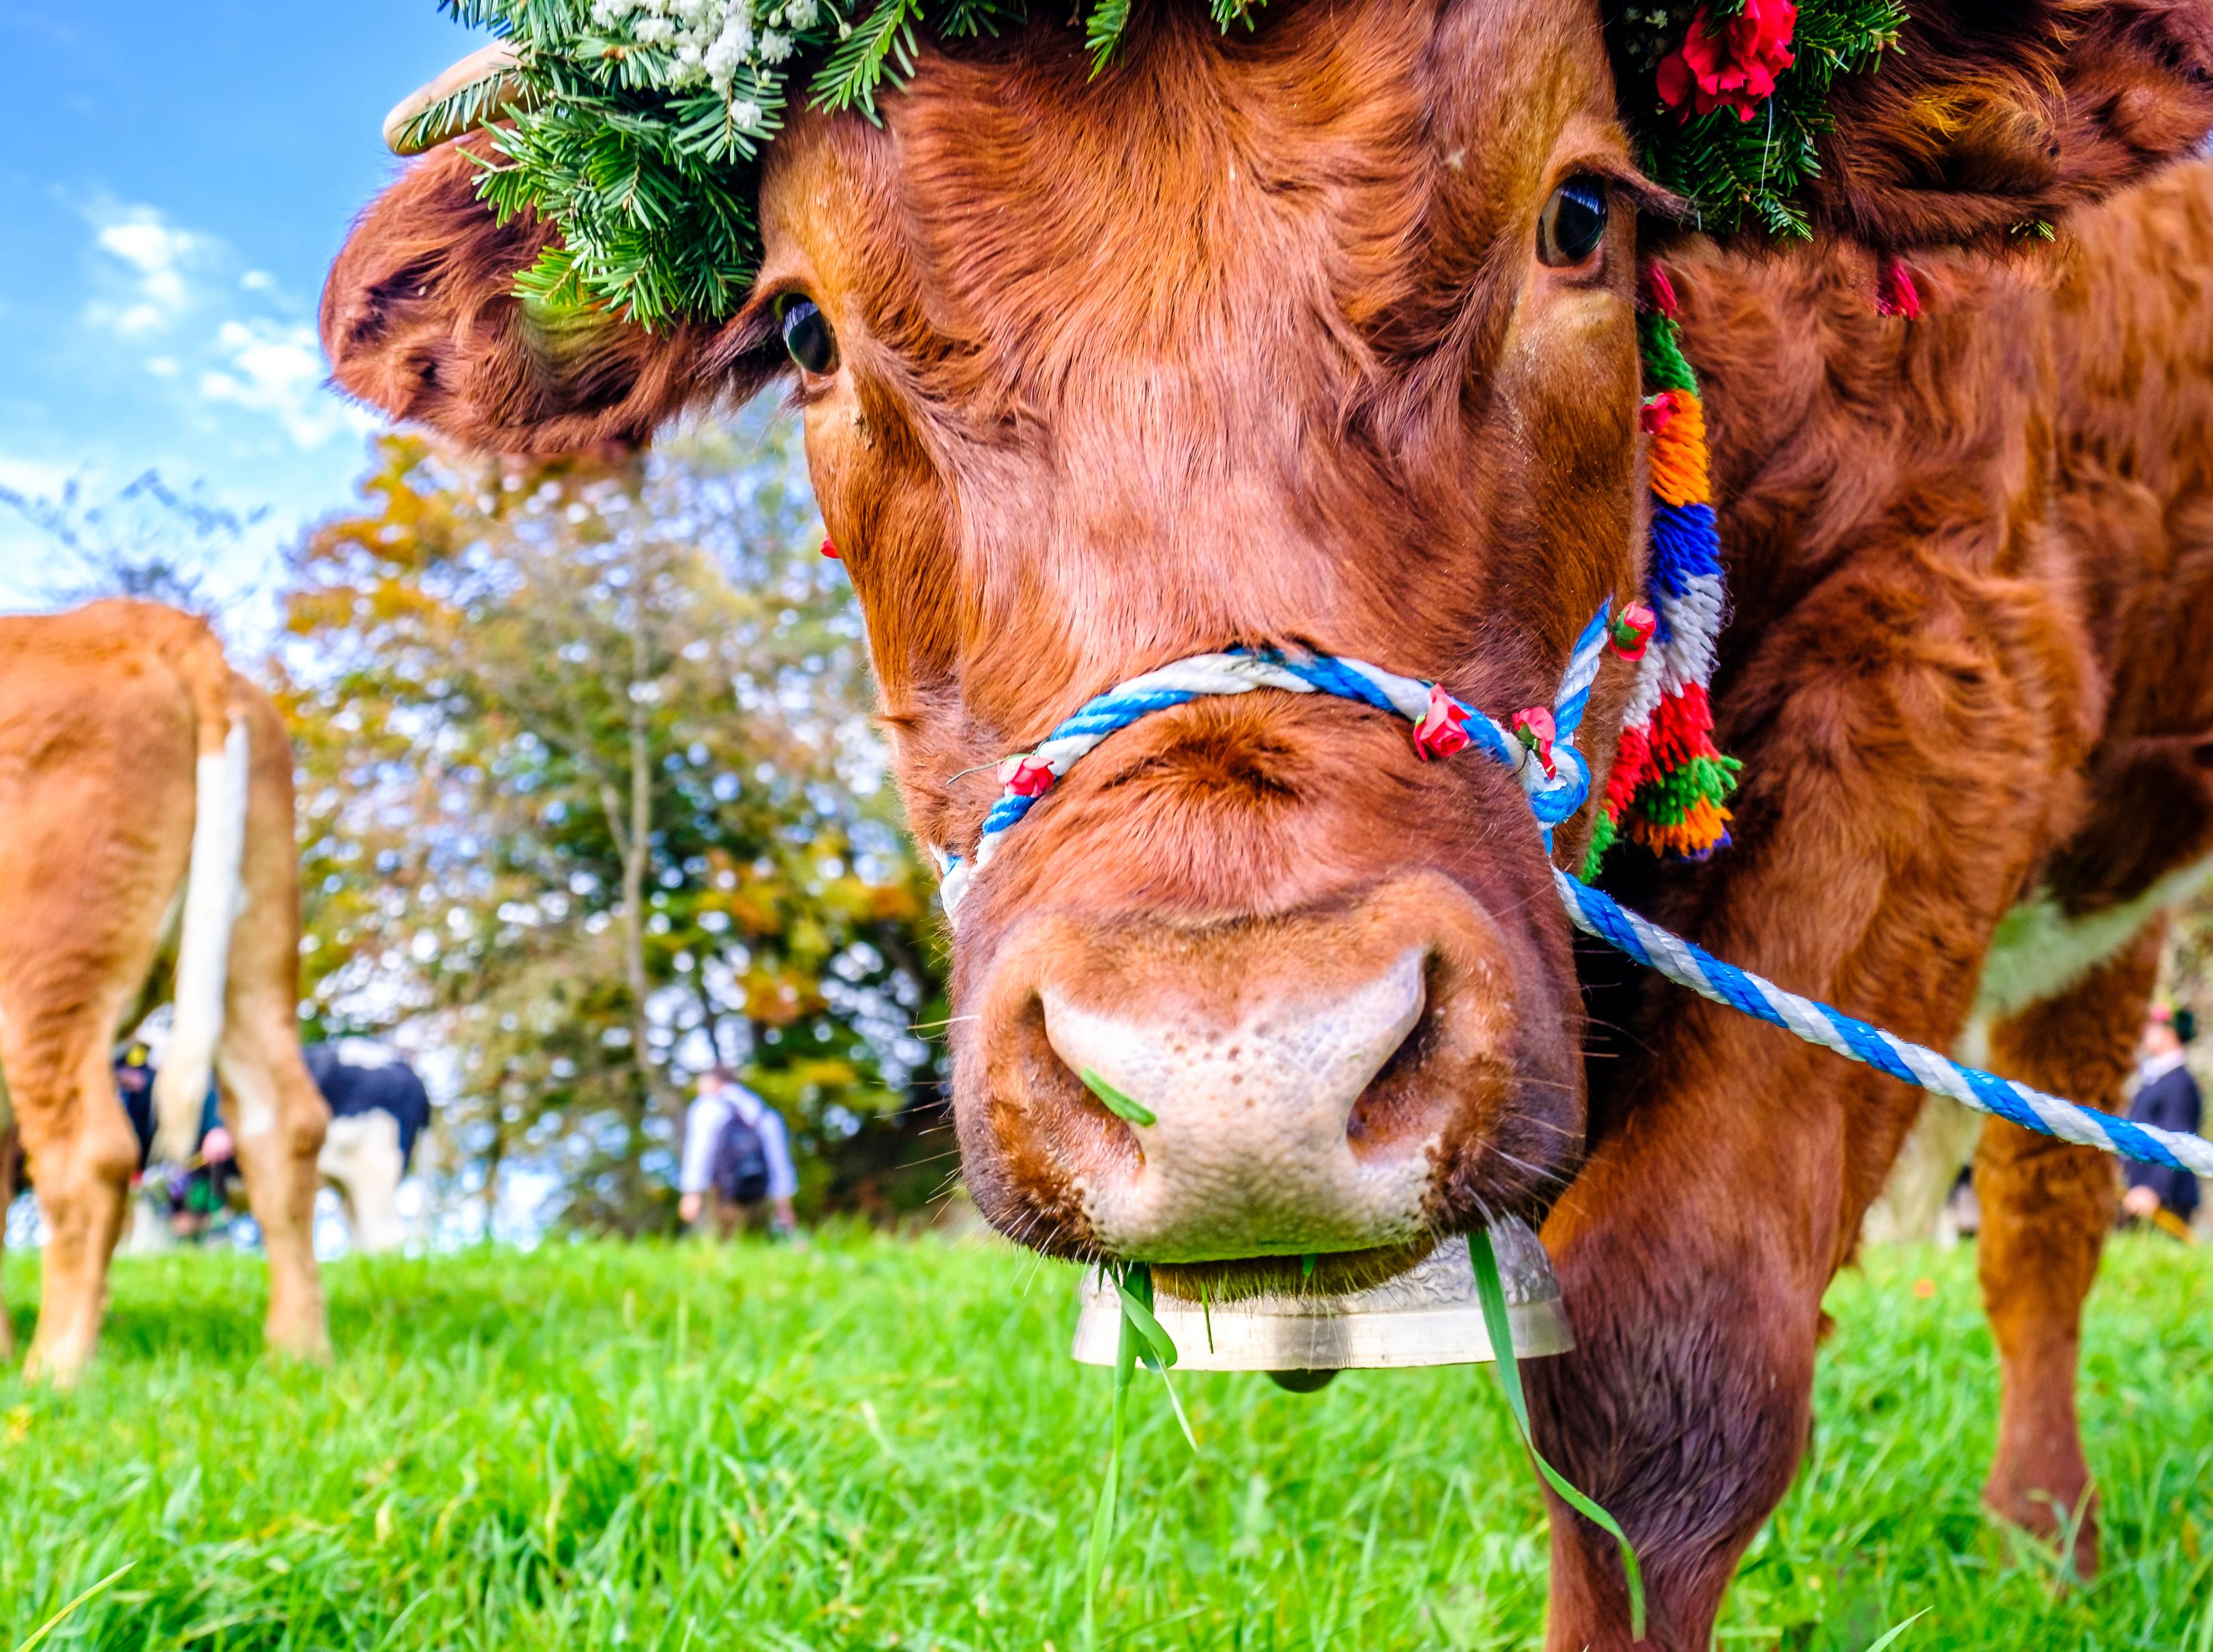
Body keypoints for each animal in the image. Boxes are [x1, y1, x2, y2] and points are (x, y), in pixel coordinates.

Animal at [0, 601, 329, 1378]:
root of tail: (137, 620)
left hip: (44, 968)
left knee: (88, 1158)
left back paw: (54, 1371)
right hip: (255, 943)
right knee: (285, 1124)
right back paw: (297, 1352)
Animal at [322, 6, 2213, 1644]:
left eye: (1578, 214)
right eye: (803, 330)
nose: (1241, 1074)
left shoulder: (1945, 674)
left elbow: (1664, 1382)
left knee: (2042, 1205)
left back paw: (2043, 1539)